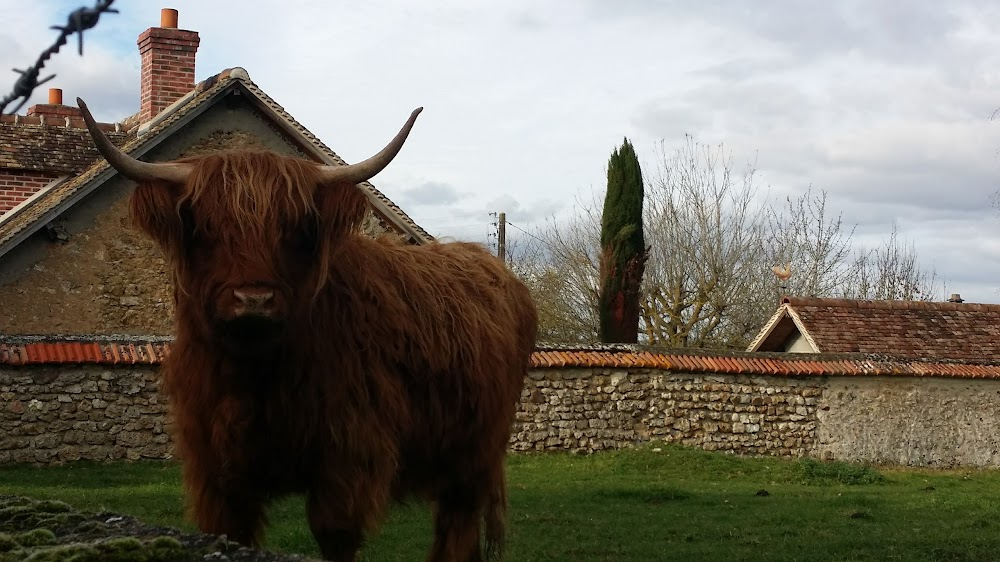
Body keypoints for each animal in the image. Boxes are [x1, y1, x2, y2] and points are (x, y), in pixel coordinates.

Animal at [78, 98, 540, 556]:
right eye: (201, 226)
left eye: (297, 227)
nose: (254, 300)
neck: (254, 376)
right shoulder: (216, 470)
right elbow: (229, 533)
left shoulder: (348, 455)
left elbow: (335, 536)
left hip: (476, 451)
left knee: (457, 525)